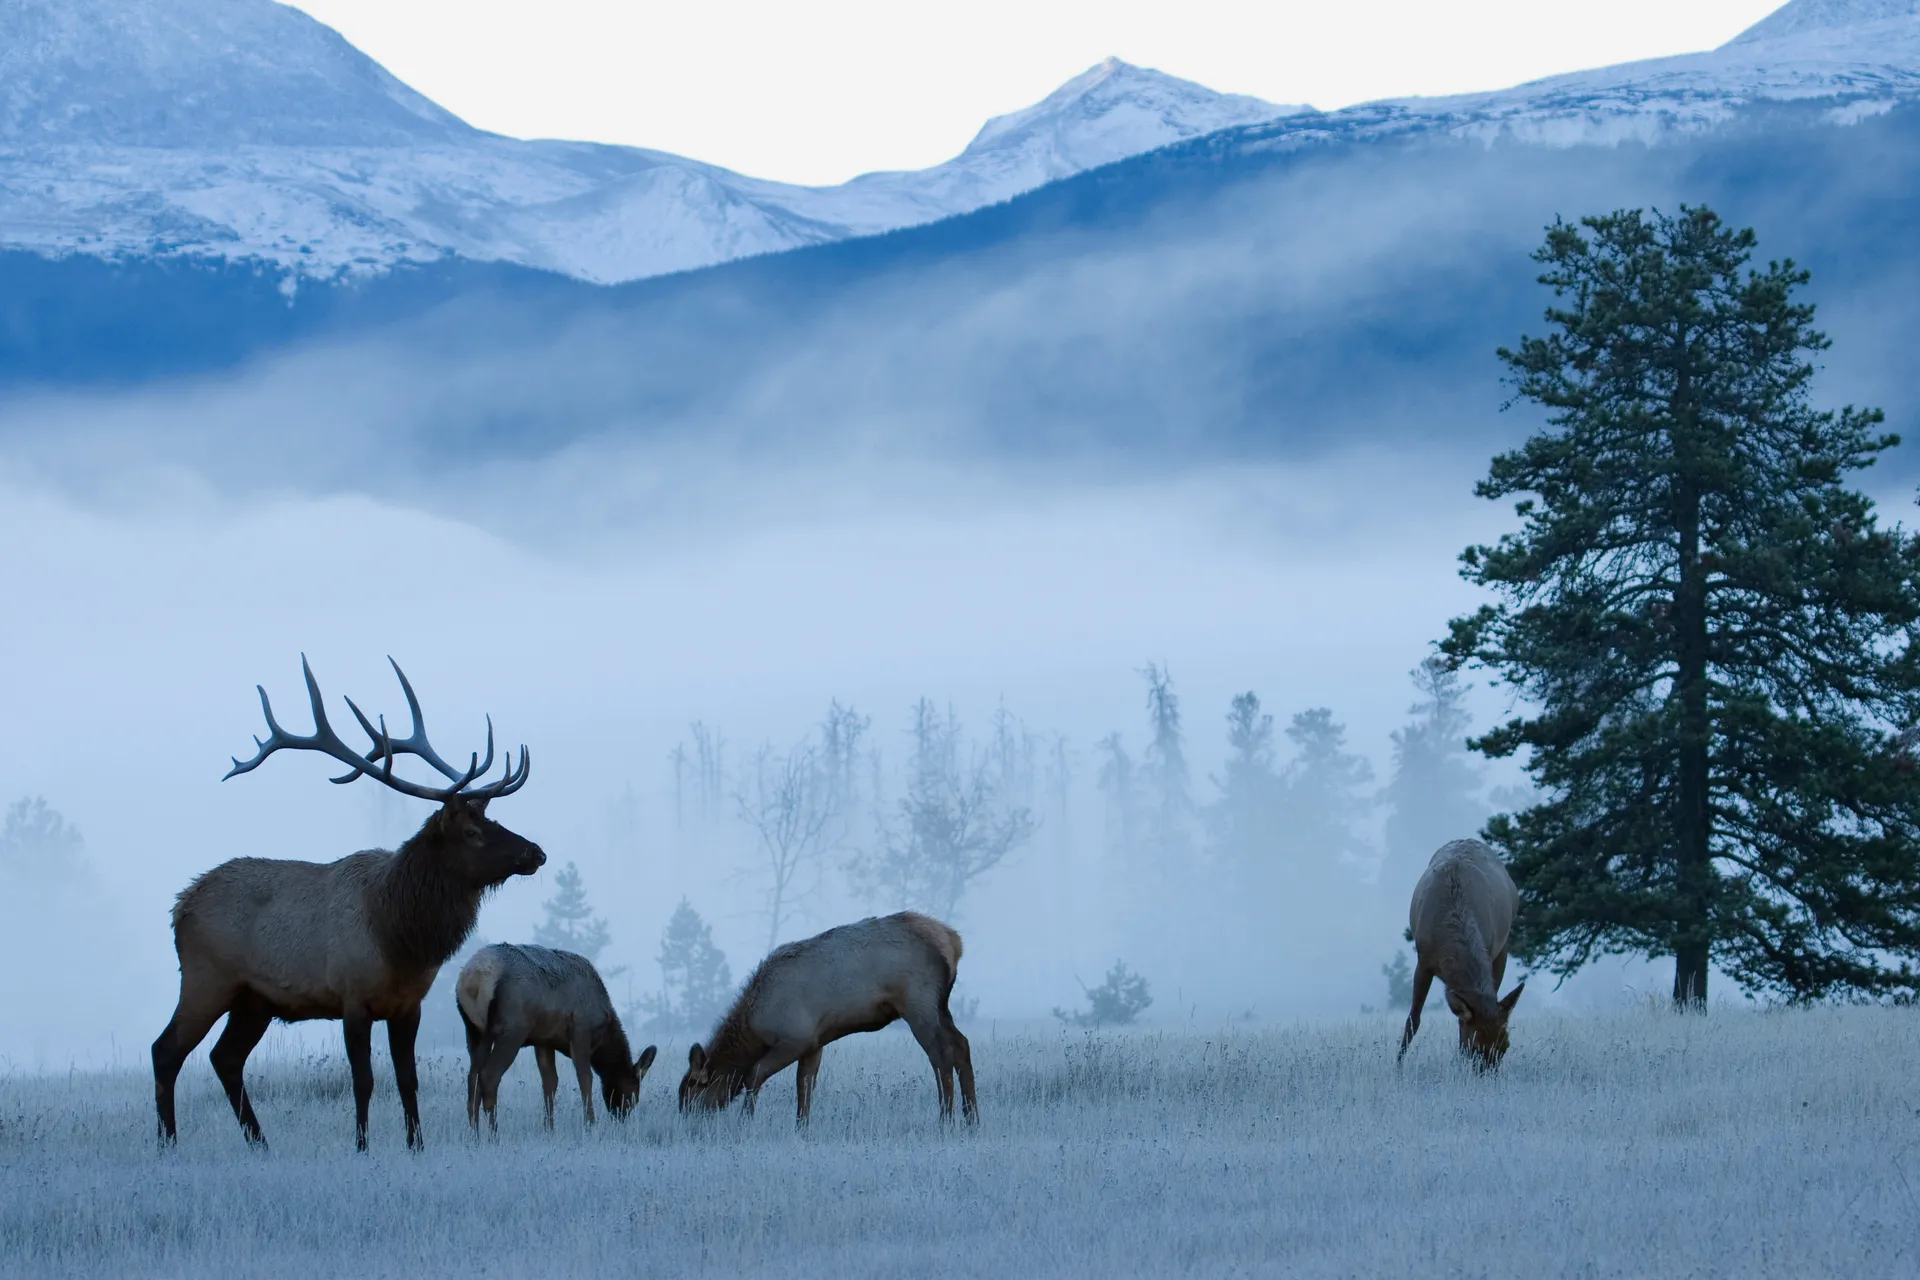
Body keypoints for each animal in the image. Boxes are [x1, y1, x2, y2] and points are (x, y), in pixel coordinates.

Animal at [151, 656, 546, 1152]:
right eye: (472, 831)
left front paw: (417, 1145)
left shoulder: (408, 1005)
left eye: (492, 819)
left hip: (254, 1000)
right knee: (166, 1050)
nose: (536, 852)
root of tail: (179, 906)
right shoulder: (352, 998)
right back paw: (168, 1142)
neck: (399, 936)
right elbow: (364, 1080)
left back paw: (261, 1143)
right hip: (206, 978)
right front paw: (361, 1146)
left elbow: (408, 1079)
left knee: (225, 1058)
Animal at [456, 943, 658, 1131]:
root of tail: (474, 977)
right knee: (489, 1075)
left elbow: (550, 1082)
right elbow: (585, 1078)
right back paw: (494, 1134)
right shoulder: (580, 1030)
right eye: (633, 1094)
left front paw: (549, 1129)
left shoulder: (544, 1041)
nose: (621, 1118)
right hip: (513, 1029)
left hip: (474, 1031)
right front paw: (590, 1124)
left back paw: (475, 1133)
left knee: (473, 1078)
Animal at [678, 911, 976, 1126]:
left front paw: (745, 1122)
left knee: (940, 1053)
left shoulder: (796, 1037)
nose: (684, 1122)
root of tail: (955, 943)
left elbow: (754, 1073)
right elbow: (805, 1086)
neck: (756, 1027)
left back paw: (946, 1120)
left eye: (690, 1092)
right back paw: (972, 1119)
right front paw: (802, 1128)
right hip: (941, 1004)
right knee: (961, 1044)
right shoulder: (814, 1043)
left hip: (918, 1002)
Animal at [1399, 837, 1526, 1070]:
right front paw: (1398, 1067)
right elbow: (1413, 1019)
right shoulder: (1423, 961)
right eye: (1475, 1047)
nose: (1487, 1075)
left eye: (1505, 1047)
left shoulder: (1491, 949)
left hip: (1504, 945)